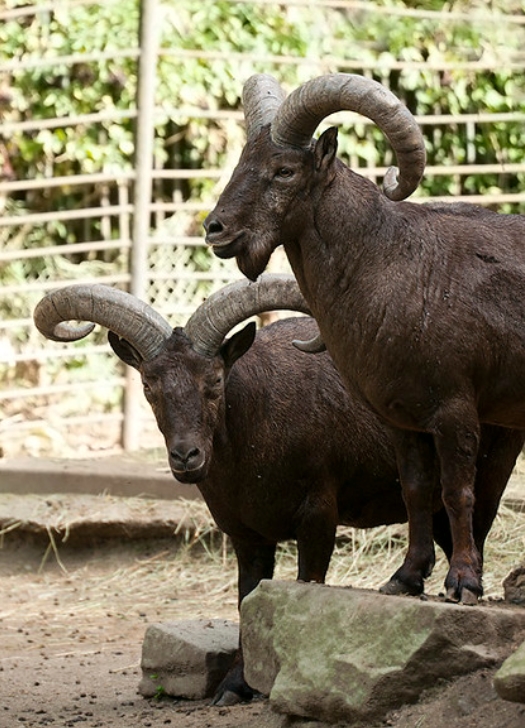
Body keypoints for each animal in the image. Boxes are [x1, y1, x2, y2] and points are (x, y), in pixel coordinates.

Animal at [33, 276, 523, 702]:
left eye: (215, 380)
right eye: (148, 385)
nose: (187, 456)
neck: (254, 444)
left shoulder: (318, 517)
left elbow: (308, 584)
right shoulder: (245, 535)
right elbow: (245, 601)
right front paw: (235, 686)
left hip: (492, 459)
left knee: (472, 522)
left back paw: (461, 587)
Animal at [204, 73, 525, 605]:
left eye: (284, 170)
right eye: (241, 162)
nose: (216, 229)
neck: (388, 261)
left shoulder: (456, 409)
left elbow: (456, 492)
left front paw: (463, 582)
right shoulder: (403, 420)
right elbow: (416, 491)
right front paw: (405, 578)